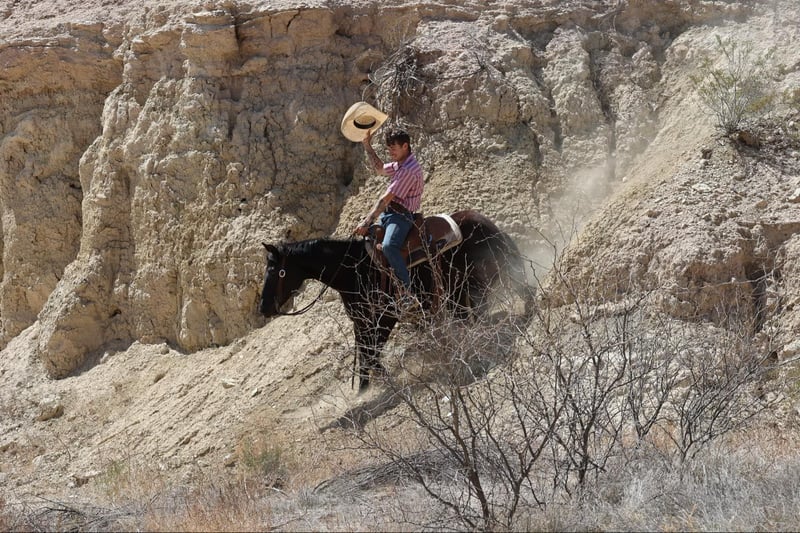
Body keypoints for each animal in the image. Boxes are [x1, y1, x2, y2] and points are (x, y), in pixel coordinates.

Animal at [259, 209, 532, 392]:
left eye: (274, 271)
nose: (263, 307)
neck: (353, 270)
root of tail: (482, 221)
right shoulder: (362, 323)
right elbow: (366, 355)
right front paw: (365, 388)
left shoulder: (385, 318)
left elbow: (371, 353)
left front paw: (378, 386)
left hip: (481, 277)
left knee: (512, 292)